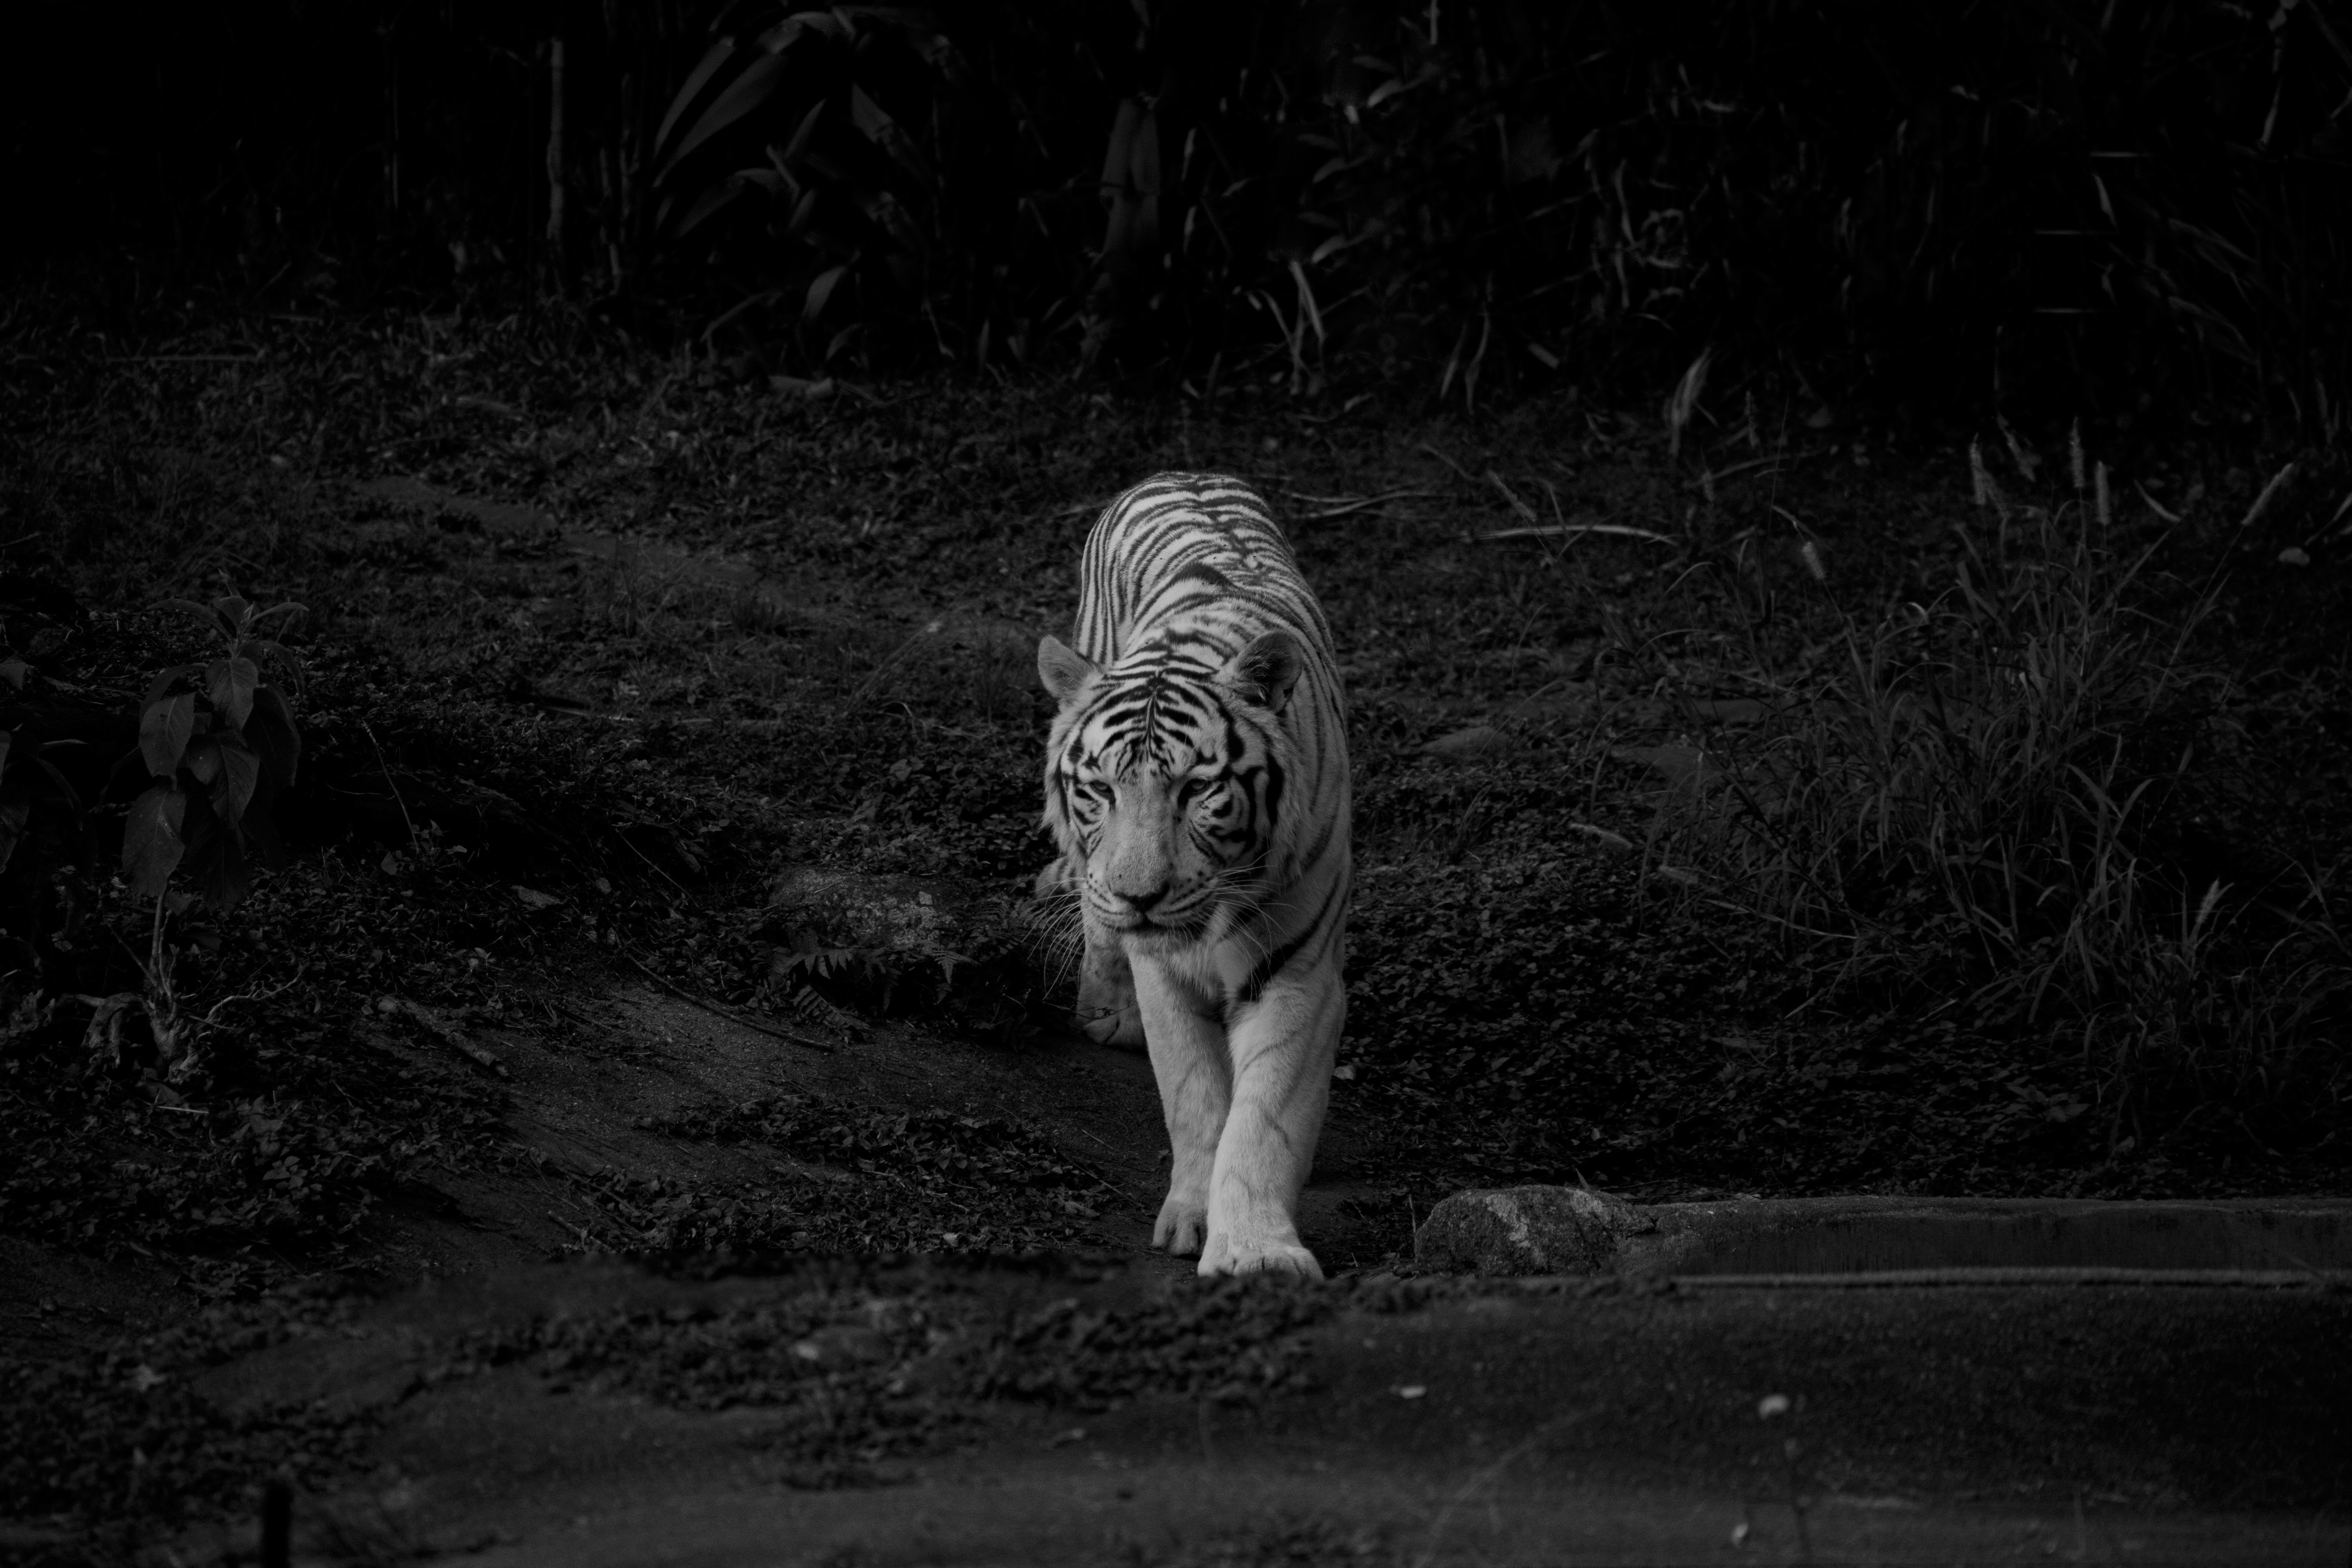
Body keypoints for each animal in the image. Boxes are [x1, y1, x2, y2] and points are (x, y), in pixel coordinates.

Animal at [1035, 471, 1351, 1279]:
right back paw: (1106, 1008)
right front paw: (1195, 1215)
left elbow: (1264, 1115)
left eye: (1196, 790)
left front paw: (1258, 1252)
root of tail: (1181, 473)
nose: (1139, 896)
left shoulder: (1298, 969)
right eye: (1102, 790)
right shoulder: (1164, 968)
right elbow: (1195, 1092)